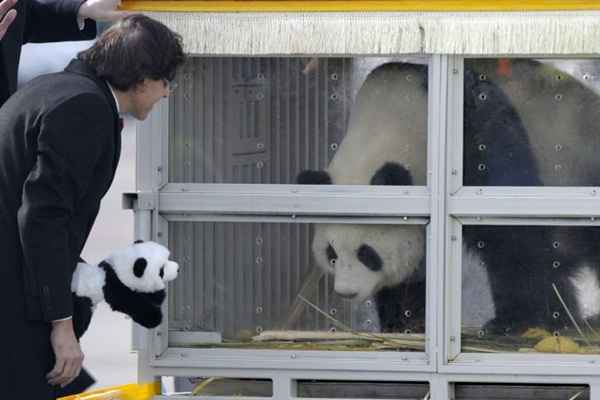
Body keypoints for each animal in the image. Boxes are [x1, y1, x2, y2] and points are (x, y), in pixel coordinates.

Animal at [300, 61, 600, 336]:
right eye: (331, 254)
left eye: (367, 254)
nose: (347, 292)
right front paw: (405, 322)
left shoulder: (479, 137)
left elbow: (512, 237)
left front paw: (518, 320)